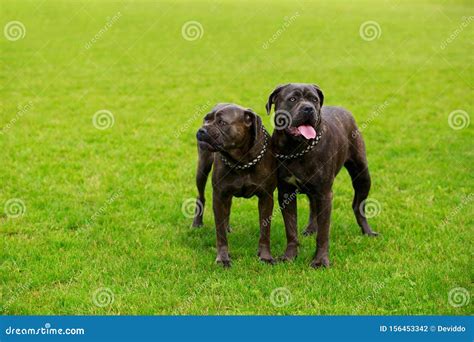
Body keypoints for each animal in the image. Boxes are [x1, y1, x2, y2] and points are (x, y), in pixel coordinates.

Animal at [192, 103, 276, 268]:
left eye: (222, 122)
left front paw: (265, 256)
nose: (202, 129)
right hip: (202, 168)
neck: (242, 161)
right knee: (201, 196)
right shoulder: (219, 196)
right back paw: (197, 223)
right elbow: (220, 235)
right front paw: (223, 258)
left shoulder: (266, 198)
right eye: (206, 119)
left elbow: (265, 230)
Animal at [266, 83, 378, 268]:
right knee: (313, 205)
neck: (296, 149)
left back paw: (368, 231)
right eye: (292, 99)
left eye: (314, 100)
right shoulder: (286, 193)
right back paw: (311, 228)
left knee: (358, 206)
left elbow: (324, 232)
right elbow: (291, 229)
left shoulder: (325, 193)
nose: (308, 108)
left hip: (362, 175)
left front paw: (320, 261)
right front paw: (289, 256)